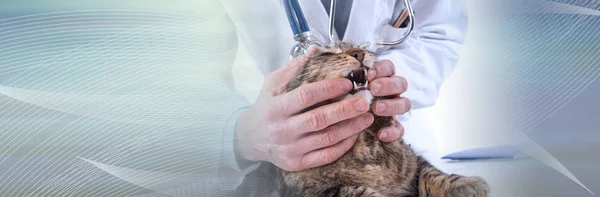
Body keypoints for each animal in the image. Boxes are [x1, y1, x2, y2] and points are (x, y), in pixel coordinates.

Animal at [241, 42, 490, 197]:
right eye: (327, 53)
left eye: (358, 45)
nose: (359, 53)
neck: (364, 141)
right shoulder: (313, 192)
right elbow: (354, 191)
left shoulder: (412, 162)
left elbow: (431, 171)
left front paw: (464, 183)